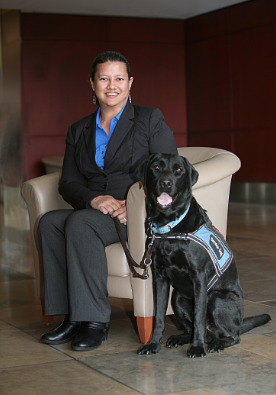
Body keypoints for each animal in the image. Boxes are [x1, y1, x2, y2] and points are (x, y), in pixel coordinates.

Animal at [136, 153, 270, 358]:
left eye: (178, 170)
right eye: (156, 167)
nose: (166, 183)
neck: (171, 226)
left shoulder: (199, 277)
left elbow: (198, 317)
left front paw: (198, 348)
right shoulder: (159, 277)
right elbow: (158, 316)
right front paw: (152, 344)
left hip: (216, 298)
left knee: (233, 336)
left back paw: (216, 343)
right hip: (178, 297)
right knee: (191, 329)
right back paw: (180, 338)